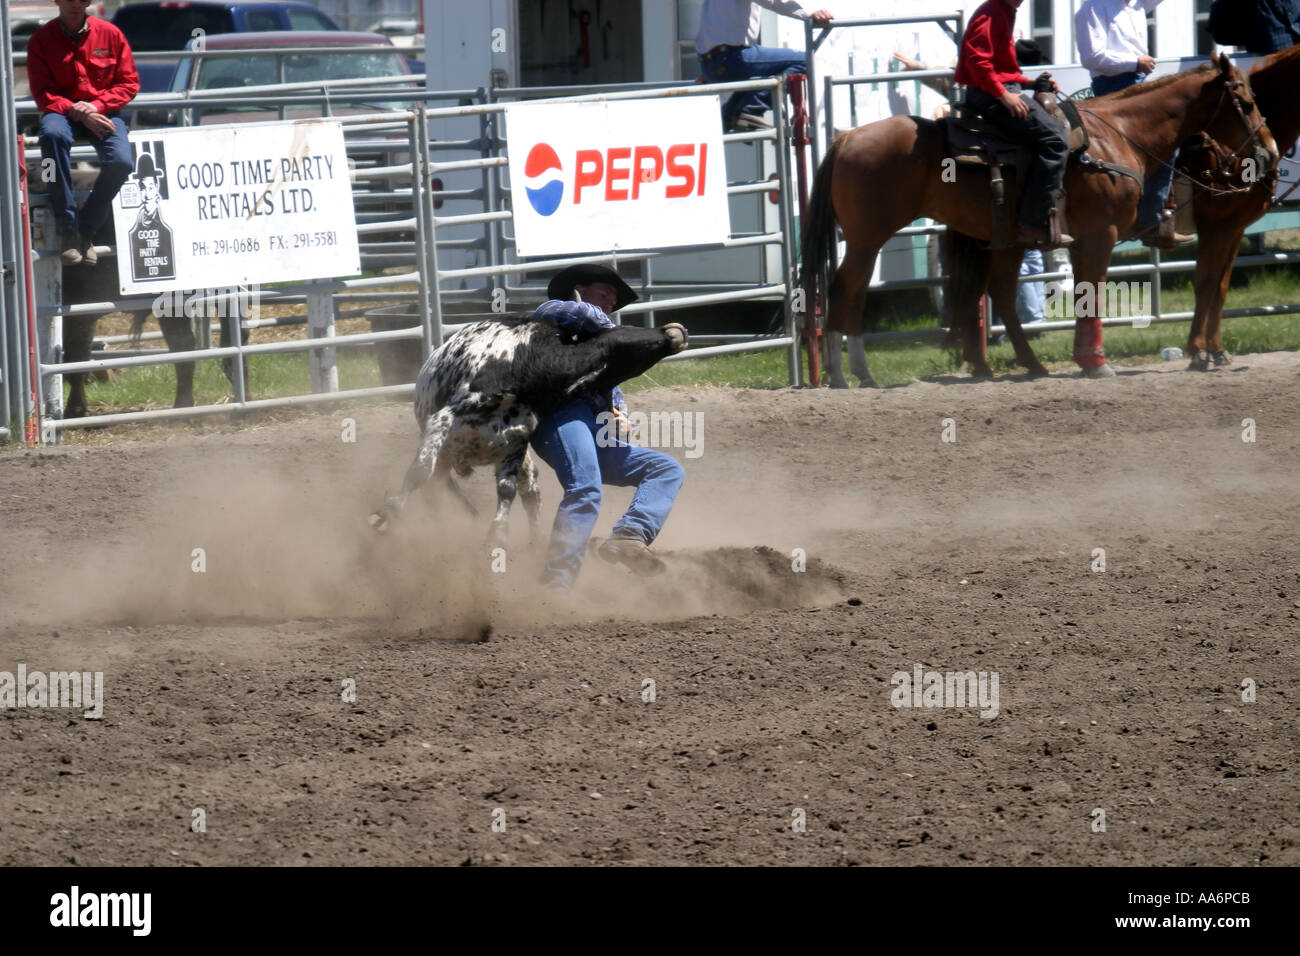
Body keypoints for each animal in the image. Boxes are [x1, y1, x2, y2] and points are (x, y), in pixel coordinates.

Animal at [806, 52, 1274, 385]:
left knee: (991, 293)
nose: (1268, 154)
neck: (1117, 136)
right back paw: (843, 376)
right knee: (845, 291)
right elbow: (1093, 293)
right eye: (1246, 102)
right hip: (867, 239)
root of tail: (847, 137)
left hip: (994, 241)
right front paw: (1095, 361)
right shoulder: (1100, 234)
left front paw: (1086, 359)